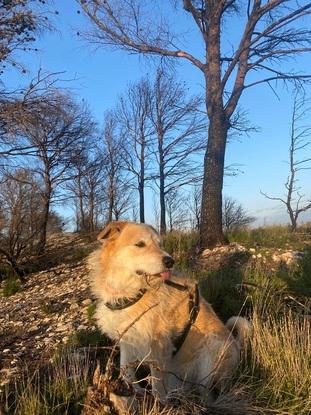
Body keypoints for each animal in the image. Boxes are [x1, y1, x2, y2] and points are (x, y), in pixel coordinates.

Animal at [88, 221, 251, 406]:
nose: (170, 261)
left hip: (212, 349)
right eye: (140, 244)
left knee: (207, 392)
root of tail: (238, 345)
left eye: (160, 244)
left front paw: (158, 406)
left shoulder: (158, 348)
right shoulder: (127, 340)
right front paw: (131, 392)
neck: (131, 291)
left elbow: (157, 385)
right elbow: (126, 371)